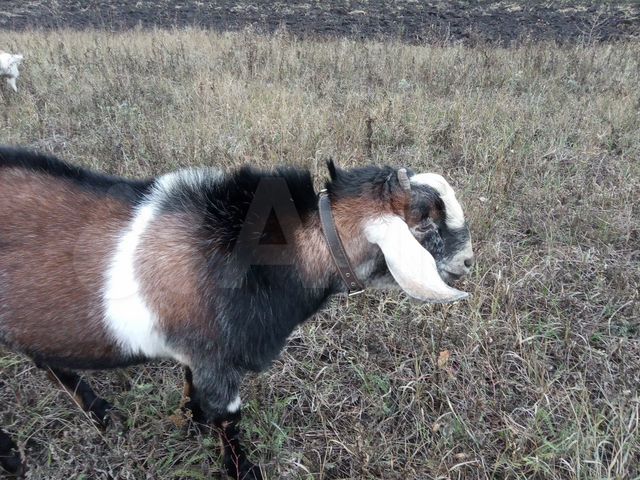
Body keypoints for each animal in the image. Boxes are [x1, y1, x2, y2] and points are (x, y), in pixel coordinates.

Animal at [0, 148, 472, 478]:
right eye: (424, 224)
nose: (467, 262)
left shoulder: (198, 356)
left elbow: (191, 387)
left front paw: (192, 422)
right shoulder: (217, 361)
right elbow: (229, 421)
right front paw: (242, 469)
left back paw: (97, 412)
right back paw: (15, 455)